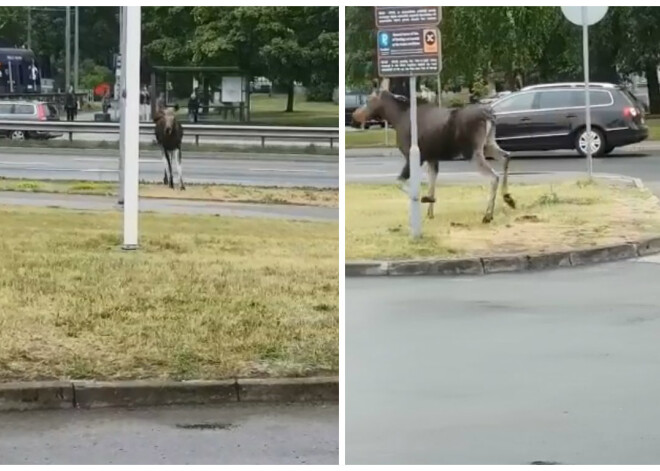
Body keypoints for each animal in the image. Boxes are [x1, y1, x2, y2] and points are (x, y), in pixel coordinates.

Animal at [350, 79, 516, 223]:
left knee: (494, 177)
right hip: (488, 144)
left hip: (472, 151)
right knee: (507, 156)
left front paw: (423, 199)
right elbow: (431, 182)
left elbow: (400, 182)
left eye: (368, 99)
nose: (354, 115)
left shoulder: (415, 156)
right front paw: (430, 211)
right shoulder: (432, 158)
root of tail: (490, 115)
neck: (395, 118)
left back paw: (488, 215)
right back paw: (508, 198)